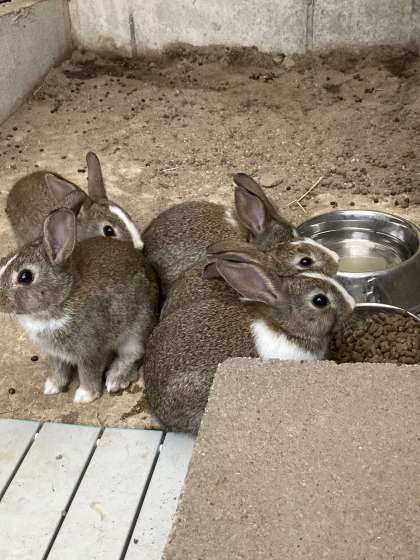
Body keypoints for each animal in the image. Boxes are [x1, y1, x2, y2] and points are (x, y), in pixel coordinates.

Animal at [0, 208, 158, 403]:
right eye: (2, 261)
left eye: (25, 276)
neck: (62, 298)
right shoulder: (54, 354)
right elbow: (58, 369)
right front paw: (52, 387)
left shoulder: (91, 350)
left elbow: (88, 372)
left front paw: (84, 396)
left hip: (137, 328)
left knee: (134, 354)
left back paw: (116, 379)